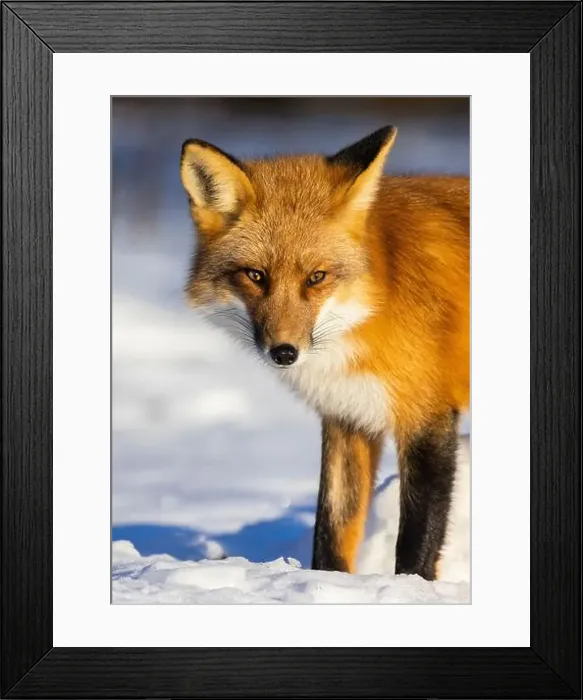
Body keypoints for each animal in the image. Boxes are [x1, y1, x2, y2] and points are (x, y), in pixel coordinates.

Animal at [179, 126, 469, 580]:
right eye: (256, 275)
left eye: (316, 277)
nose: (284, 352)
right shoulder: (347, 416)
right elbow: (332, 528)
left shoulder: (428, 415)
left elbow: (418, 538)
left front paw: (411, 588)